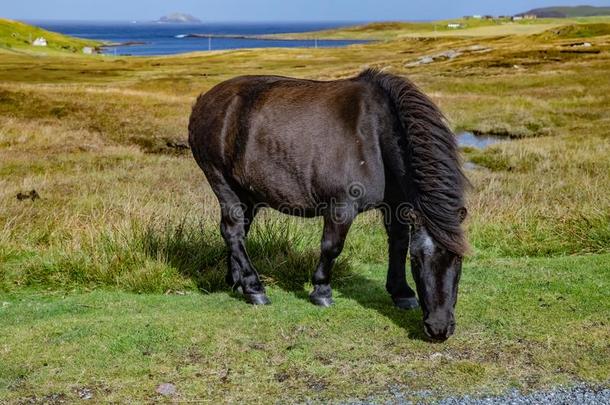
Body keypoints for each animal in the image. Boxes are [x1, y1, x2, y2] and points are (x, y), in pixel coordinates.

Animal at [188, 69, 468, 340]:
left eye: (457, 259)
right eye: (417, 260)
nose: (439, 329)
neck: (375, 134)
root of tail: (204, 101)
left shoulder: (396, 205)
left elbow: (397, 244)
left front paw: (401, 292)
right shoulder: (341, 207)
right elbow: (332, 247)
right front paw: (321, 291)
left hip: (247, 194)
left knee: (238, 233)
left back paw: (236, 281)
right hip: (222, 182)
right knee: (232, 231)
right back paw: (254, 288)